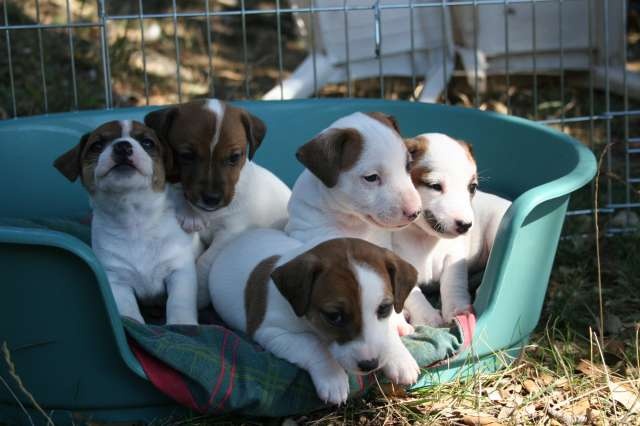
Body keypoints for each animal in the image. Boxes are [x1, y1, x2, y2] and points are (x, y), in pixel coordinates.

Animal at [53, 120, 202, 326]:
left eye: (147, 143)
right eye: (97, 145)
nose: (122, 146)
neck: (135, 220)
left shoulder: (179, 271)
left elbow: (179, 302)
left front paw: (181, 323)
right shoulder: (116, 281)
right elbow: (128, 311)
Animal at [144, 98, 290, 288]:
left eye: (234, 157)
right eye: (187, 155)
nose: (212, 199)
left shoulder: (230, 233)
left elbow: (204, 260)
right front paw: (189, 214)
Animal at [209, 230, 420, 406]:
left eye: (384, 308)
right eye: (334, 316)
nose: (370, 365)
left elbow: (387, 331)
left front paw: (400, 358)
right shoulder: (271, 332)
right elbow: (312, 344)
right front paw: (332, 376)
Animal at [390, 133, 510, 326]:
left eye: (472, 187)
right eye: (435, 186)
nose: (466, 225)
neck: (425, 237)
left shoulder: (454, 257)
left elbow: (453, 281)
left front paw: (457, 309)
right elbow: (413, 294)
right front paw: (427, 317)